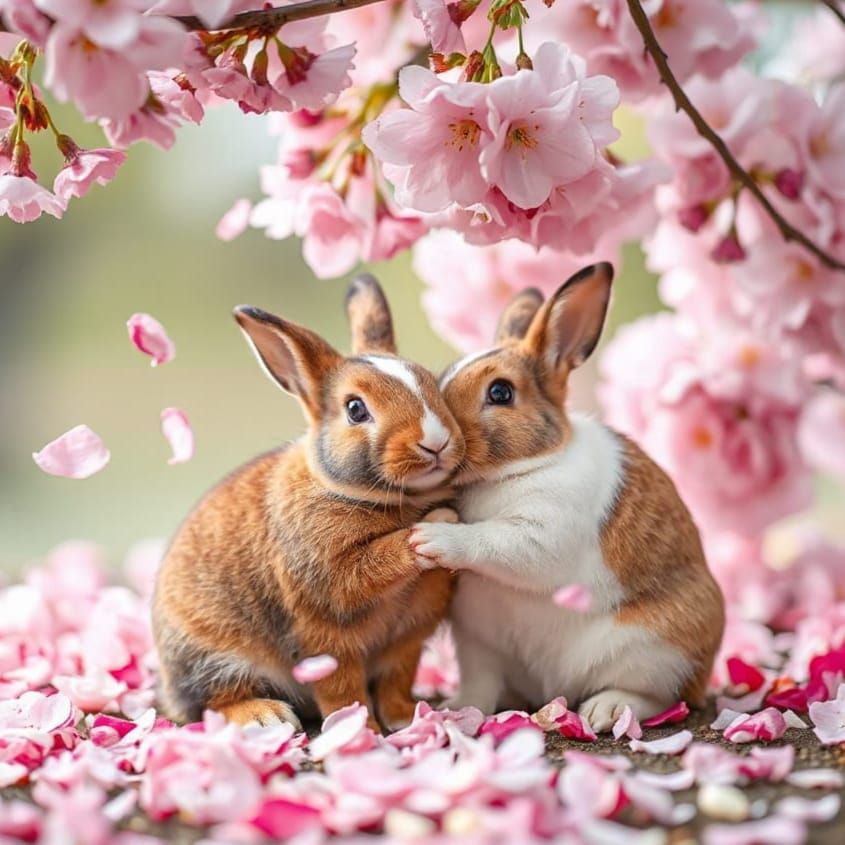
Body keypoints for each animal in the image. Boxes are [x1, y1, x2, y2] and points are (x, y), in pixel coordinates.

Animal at [153, 274, 465, 733]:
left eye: (431, 382)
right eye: (355, 409)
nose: (436, 442)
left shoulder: (407, 639)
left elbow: (396, 678)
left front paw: (406, 717)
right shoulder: (328, 615)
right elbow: (344, 687)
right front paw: (359, 731)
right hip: (213, 654)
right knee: (215, 700)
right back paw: (265, 716)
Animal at [408, 263, 725, 731]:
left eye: (500, 392)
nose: (439, 438)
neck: (513, 470)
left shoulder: (542, 533)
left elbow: (494, 542)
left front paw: (431, 538)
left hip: (657, 650)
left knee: (656, 696)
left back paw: (604, 711)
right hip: (481, 644)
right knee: (483, 686)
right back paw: (462, 709)